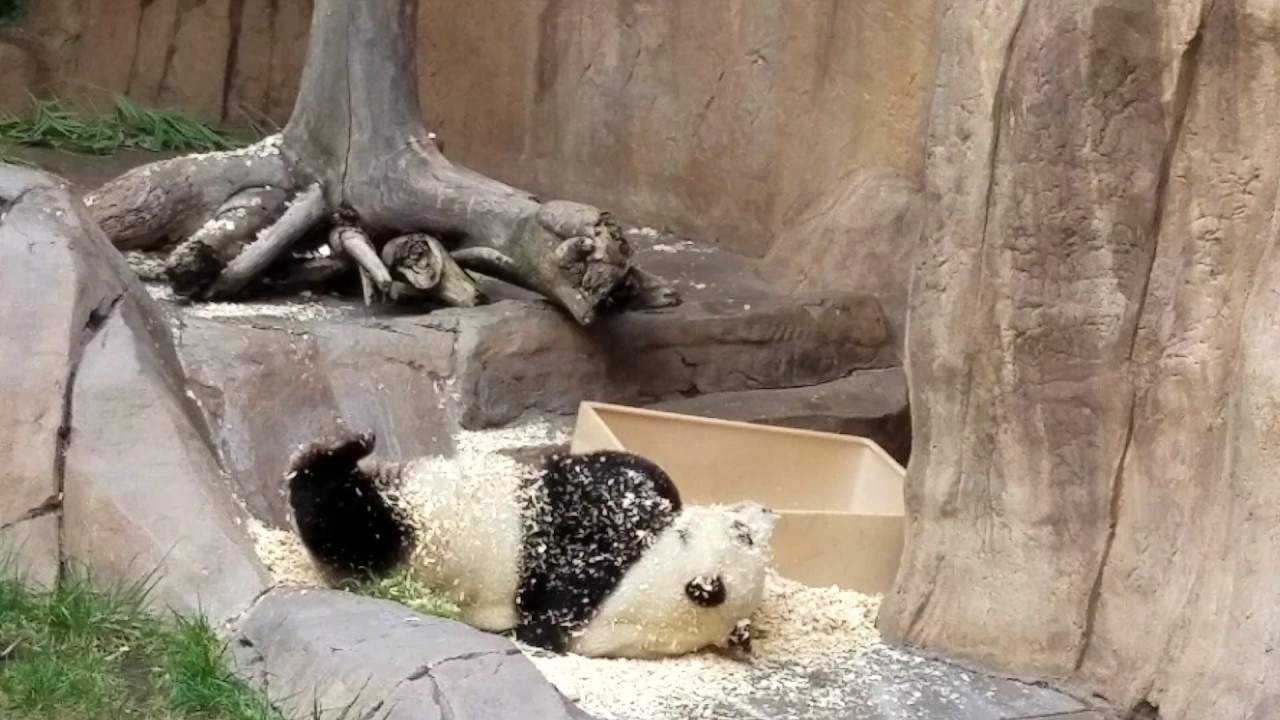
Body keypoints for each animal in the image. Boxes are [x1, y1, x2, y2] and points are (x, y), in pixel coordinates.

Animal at [285, 431, 779, 659]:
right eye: (745, 533)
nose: (766, 510)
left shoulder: (587, 584)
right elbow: (635, 473)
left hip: (398, 541)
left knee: (338, 515)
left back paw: (339, 453)